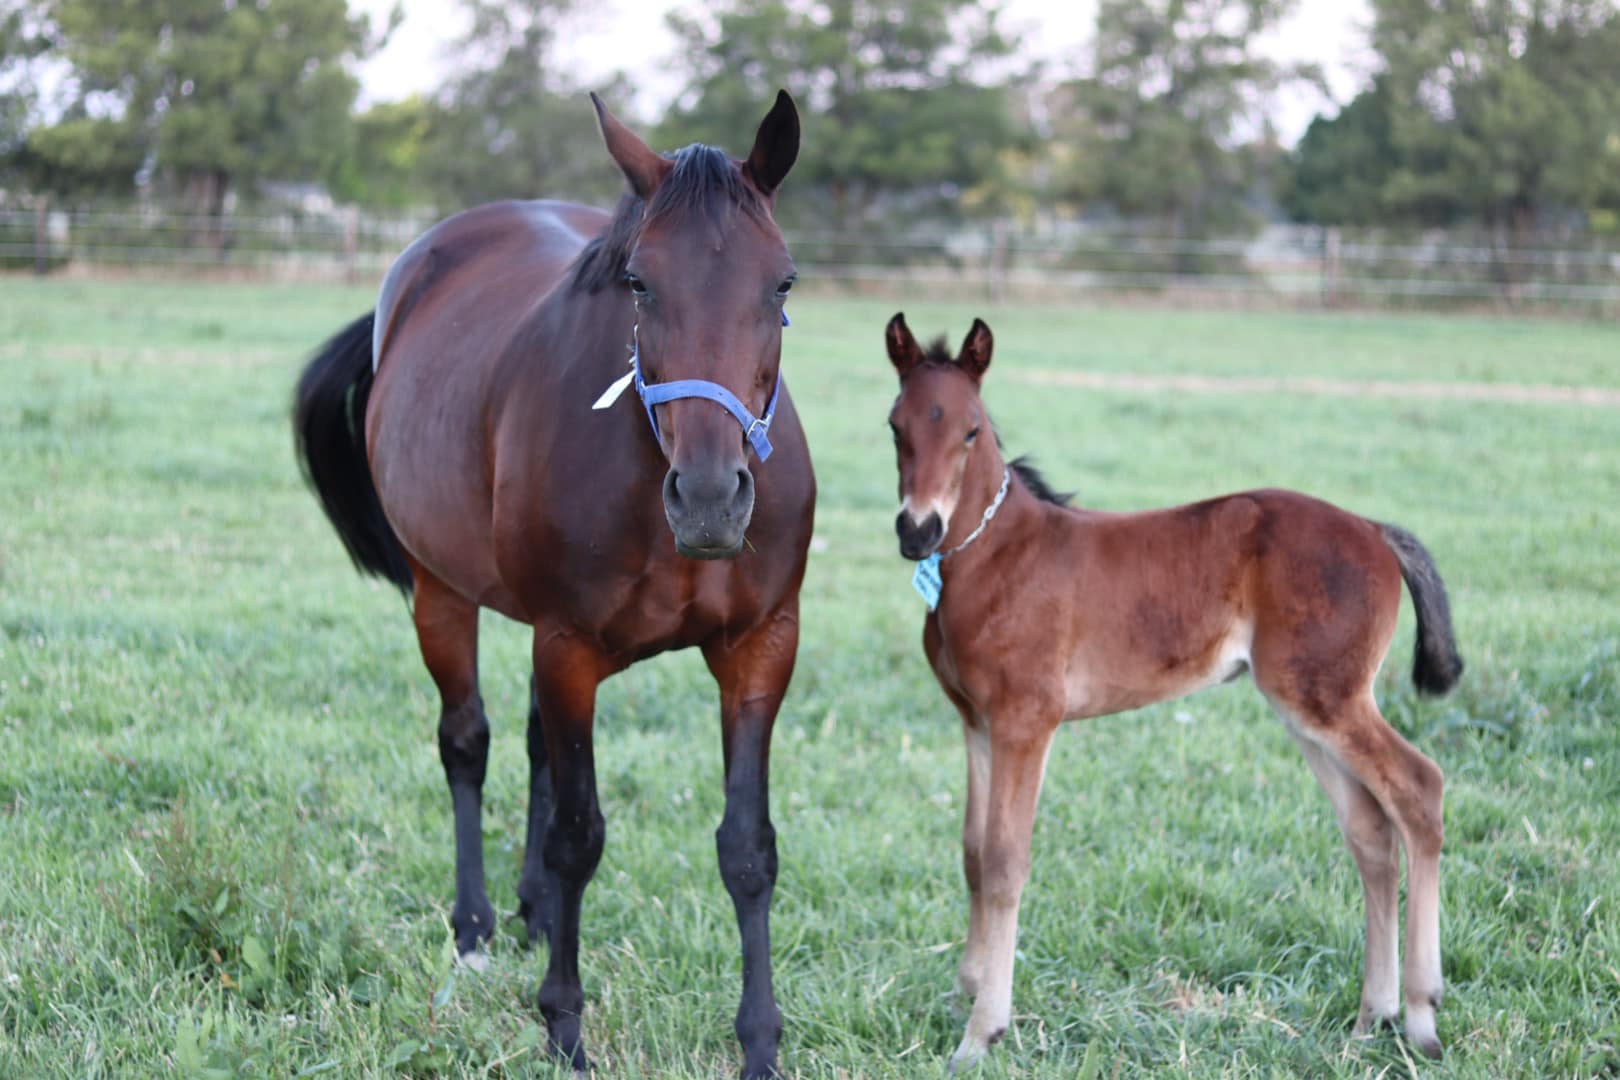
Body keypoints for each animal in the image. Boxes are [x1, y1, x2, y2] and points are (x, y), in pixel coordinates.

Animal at [292, 91, 813, 1079]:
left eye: (783, 284)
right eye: (640, 284)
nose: (711, 498)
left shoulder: (760, 647)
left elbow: (749, 848)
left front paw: (761, 1042)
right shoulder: (569, 647)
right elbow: (580, 836)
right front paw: (564, 1025)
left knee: (534, 748)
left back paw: (532, 910)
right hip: (443, 593)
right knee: (468, 742)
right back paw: (476, 926)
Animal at [882, 314, 1462, 1069]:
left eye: (971, 430)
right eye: (896, 424)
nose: (916, 529)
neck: (993, 556)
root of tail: (1373, 531)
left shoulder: (1025, 723)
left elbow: (1008, 862)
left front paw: (982, 1032)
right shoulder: (975, 723)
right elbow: (974, 856)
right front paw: (965, 994)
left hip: (1327, 700)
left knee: (1419, 789)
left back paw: (1419, 1014)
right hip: (1309, 709)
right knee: (1370, 832)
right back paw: (1372, 1017)